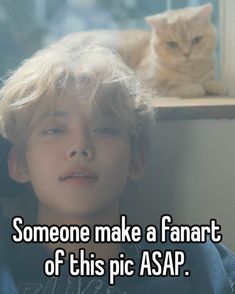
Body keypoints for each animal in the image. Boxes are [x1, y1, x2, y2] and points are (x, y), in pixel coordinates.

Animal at [56, 2, 225, 97]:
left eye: (196, 40)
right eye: (172, 44)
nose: (186, 53)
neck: (192, 72)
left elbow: (210, 81)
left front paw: (216, 85)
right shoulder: (148, 81)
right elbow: (172, 85)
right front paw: (192, 88)